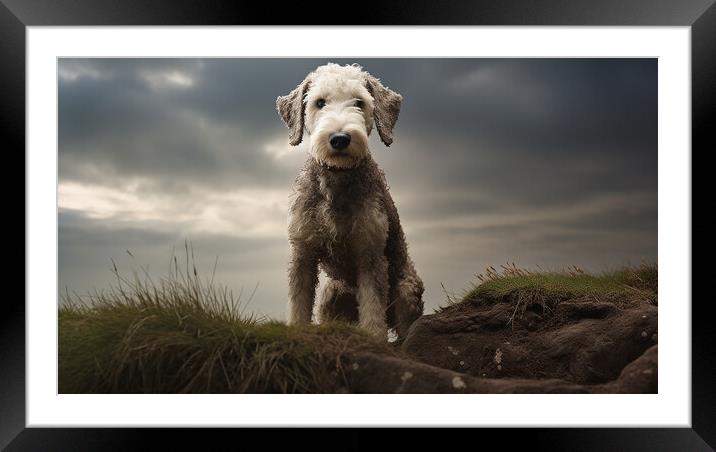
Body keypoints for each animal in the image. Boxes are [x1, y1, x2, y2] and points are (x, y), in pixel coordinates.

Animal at [276, 62, 422, 340]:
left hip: (406, 289)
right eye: (320, 102)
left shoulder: (370, 252)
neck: (337, 178)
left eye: (359, 102)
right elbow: (298, 301)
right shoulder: (302, 251)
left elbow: (372, 308)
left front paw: (374, 339)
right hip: (331, 293)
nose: (340, 139)